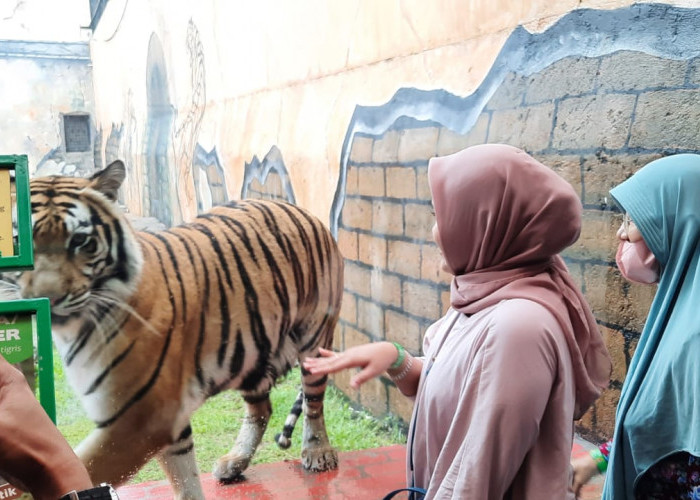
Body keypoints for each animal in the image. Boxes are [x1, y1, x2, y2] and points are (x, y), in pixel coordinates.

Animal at [15, 162, 344, 498]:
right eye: (18, 239)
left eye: (81, 241)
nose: (48, 298)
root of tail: (299, 209)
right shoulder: (162, 415)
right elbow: (184, 475)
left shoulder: (140, 417)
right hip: (250, 351)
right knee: (261, 408)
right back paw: (235, 461)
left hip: (312, 340)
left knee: (313, 402)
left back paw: (317, 452)